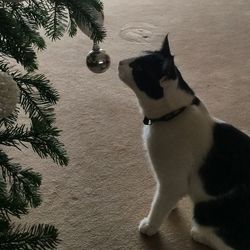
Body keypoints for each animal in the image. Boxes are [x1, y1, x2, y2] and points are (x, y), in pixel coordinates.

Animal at [118, 35, 250, 250]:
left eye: (137, 68)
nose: (120, 62)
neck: (173, 114)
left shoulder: (172, 180)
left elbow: (159, 202)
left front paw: (150, 225)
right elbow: (164, 198)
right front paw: (170, 207)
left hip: (206, 209)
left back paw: (199, 234)